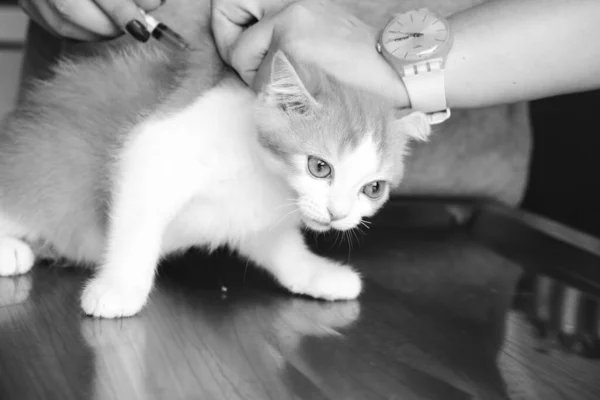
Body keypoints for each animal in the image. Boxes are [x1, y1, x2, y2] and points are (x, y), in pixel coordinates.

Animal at [0, 0, 432, 318]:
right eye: (319, 166)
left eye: (373, 188)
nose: (338, 214)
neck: (261, 172)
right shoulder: (154, 150)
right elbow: (136, 228)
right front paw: (119, 289)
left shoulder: (252, 212)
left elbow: (281, 246)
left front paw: (315, 273)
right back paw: (12, 250)